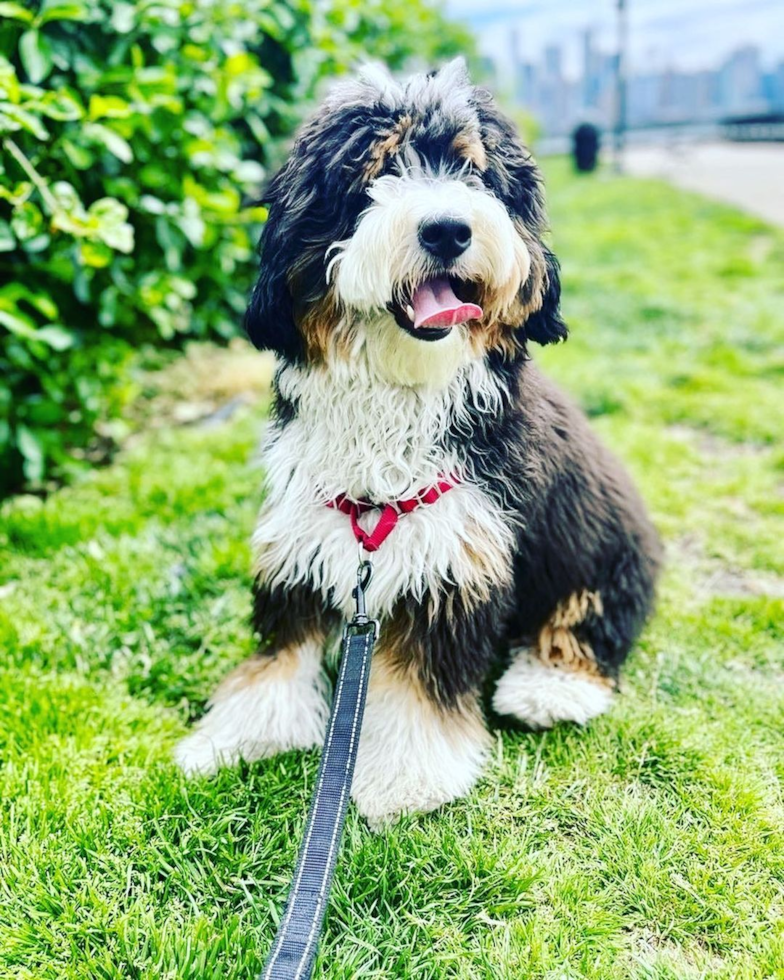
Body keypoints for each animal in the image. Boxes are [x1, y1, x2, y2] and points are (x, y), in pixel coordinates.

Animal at [176, 59, 660, 828]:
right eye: (376, 171)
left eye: (472, 171)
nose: (448, 230)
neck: (398, 386)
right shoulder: (304, 533)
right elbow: (284, 647)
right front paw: (243, 731)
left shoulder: (456, 555)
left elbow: (419, 687)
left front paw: (404, 777)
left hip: (603, 552)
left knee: (587, 618)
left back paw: (549, 686)